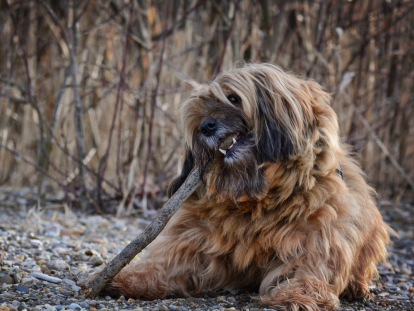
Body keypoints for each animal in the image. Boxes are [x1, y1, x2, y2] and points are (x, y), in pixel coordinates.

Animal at [105, 64, 392, 311]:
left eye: (233, 98)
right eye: (201, 109)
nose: (205, 127)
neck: (256, 196)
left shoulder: (319, 230)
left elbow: (310, 263)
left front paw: (300, 293)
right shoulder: (194, 230)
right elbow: (170, 259)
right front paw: (133, 277)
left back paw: (356, 287)